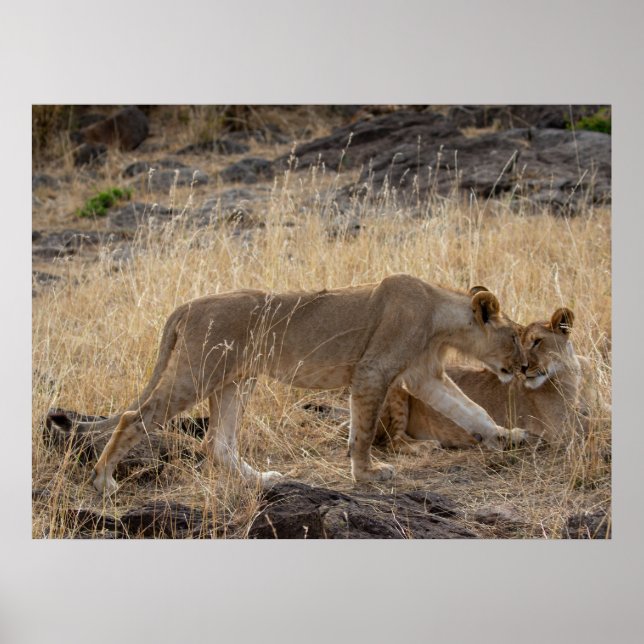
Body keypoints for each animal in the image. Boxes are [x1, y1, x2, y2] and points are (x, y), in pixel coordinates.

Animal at [47, 274, 528, 494]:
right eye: (516, 337)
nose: (524, 368)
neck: (439, 318)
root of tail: (187, 305)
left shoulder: (424, 375)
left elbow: (470, 409)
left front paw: (505, 435)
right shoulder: (372, 371)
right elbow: (363, 432)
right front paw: (367, 473)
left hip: (236, 381)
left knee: (217, 442)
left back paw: (262, 480)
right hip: (197, 373)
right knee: (133, 417)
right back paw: (103, 480)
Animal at [378, 307, 590, 452]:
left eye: (537, 341)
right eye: (517, 344)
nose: (523, 368)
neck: (569, 373)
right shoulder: (561, 429)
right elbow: (593, 425)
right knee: (393, 441)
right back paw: (426, 446)